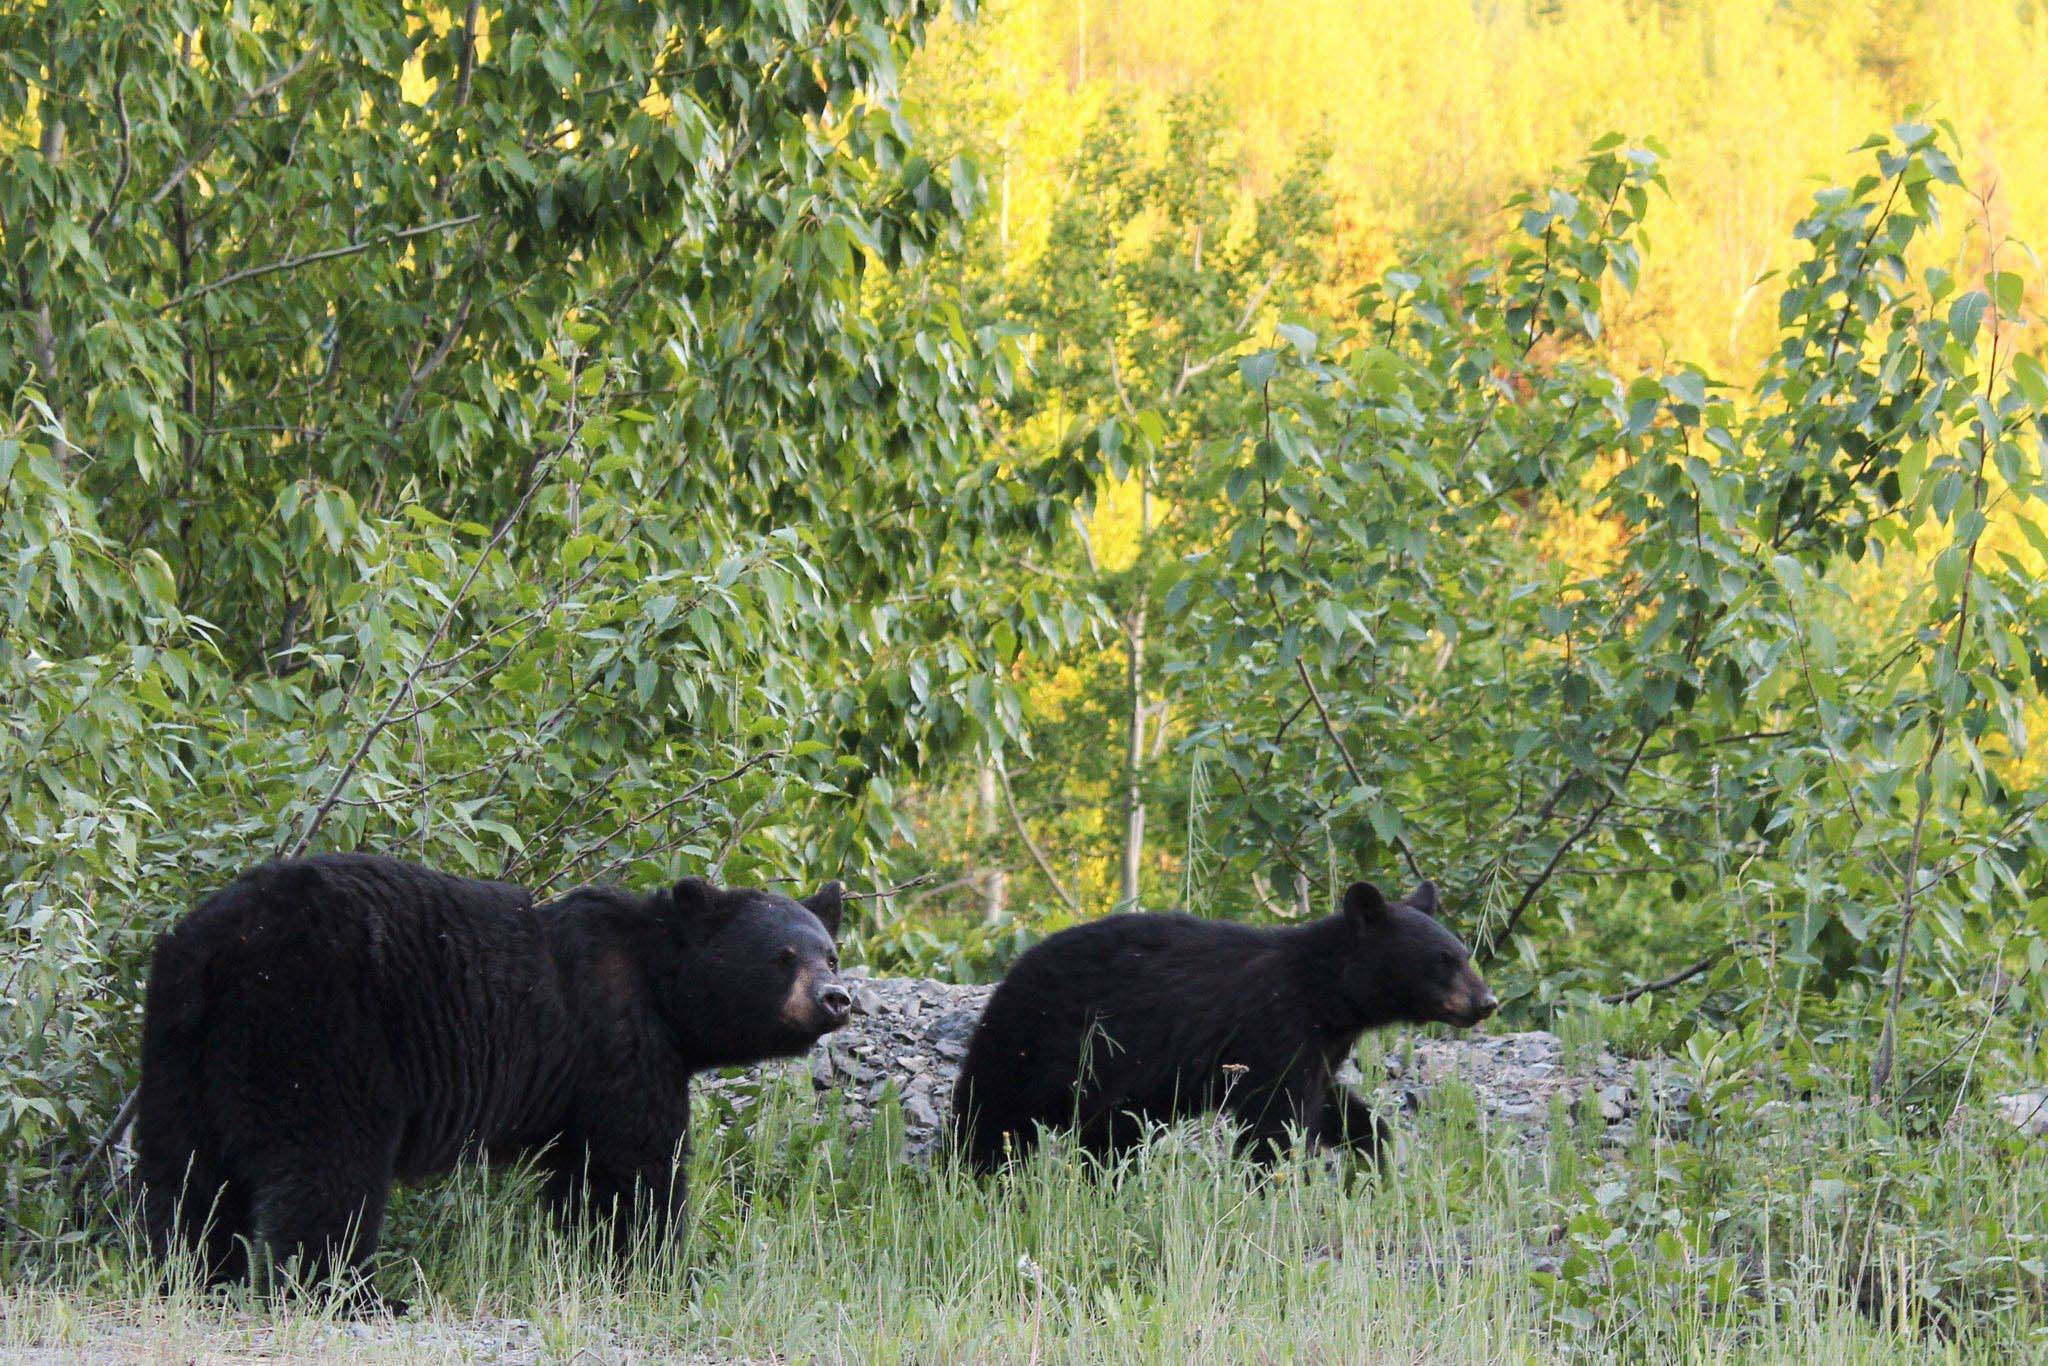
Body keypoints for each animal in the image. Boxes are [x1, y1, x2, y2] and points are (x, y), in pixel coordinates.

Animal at [138, 856, 847, 1310]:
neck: (661, 986)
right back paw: (354, 1296)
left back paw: (193, 1275)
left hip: (181, 1043)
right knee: (329, 1163)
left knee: (186, 1170)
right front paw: (657, 1271)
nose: (837, 998)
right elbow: (634, 1168)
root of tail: (224, 945)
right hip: (318, 1026)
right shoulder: (618, 1043)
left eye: (830, 954)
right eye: (782, 957)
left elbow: (580, 1180)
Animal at [950, 888, 1499, 1179]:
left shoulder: (1319, 1045)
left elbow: (1327, 1104)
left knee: (1110, 1138)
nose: (1486, 1003)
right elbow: (1273, 1120)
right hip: (1035, 1042)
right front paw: (1268, 1183)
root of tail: (1011, 971)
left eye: (1464, 953)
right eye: (1442, 961)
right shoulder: (1271, 1026)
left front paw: (1371, 1155)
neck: (1326, 993)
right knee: (991, 1114)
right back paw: (976, 1173)